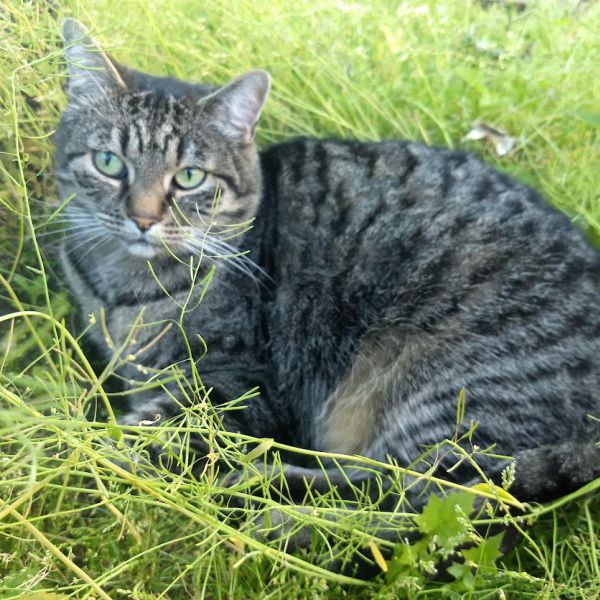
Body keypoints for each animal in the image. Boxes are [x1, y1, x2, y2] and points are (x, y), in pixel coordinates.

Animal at [54, 18, 596, 516]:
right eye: (109, 162)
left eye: (189, 177)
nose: (143, 218)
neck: (122, 287)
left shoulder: (238, 383)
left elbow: (135, 435)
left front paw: (69, 452)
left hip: (449, 384)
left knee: (415, 498)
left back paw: (265, 491)